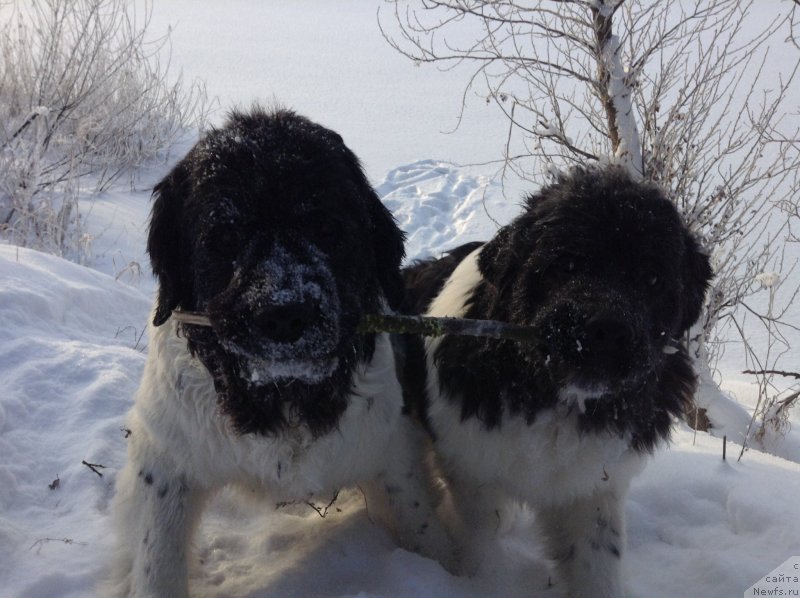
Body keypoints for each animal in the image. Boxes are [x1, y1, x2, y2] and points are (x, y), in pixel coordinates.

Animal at [108, 108, 450, 598]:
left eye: (327, 228)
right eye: (225, 237)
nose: (285, 315)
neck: (281, 396)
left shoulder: (391, 447)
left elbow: (421, 526)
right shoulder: (168, 459)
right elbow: (158, 560)